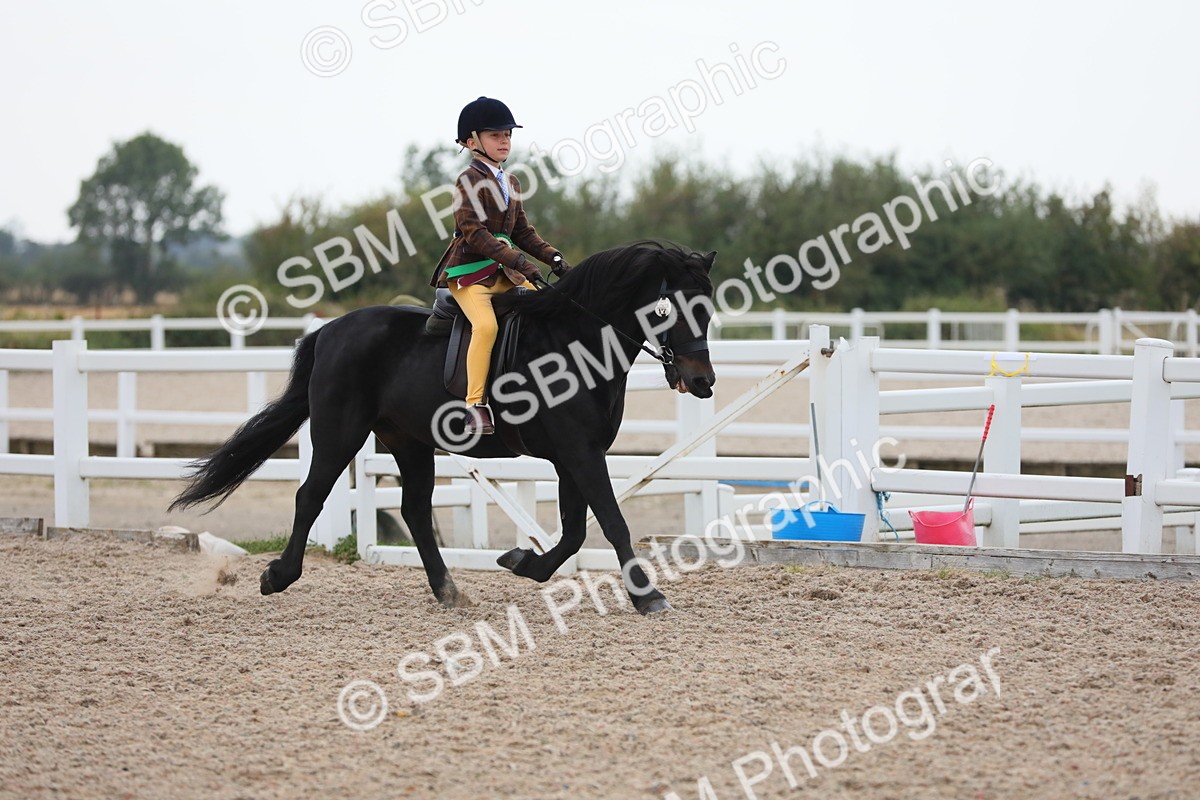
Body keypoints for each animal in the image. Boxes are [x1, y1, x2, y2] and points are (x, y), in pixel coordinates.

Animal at [170, 240, 717, 615]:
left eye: (708, 310)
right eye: (669, 308)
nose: (702, 381)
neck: (574, 341)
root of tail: (329, 331)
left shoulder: (575, 455)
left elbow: (576, 531)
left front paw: (523, 563)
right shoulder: (579, 452)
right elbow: (611, 522)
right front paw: (648, 596)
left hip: (408, 442)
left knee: (414, 510)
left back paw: (448, 590)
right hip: (339, 432)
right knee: (311, 496)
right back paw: (278, 576)